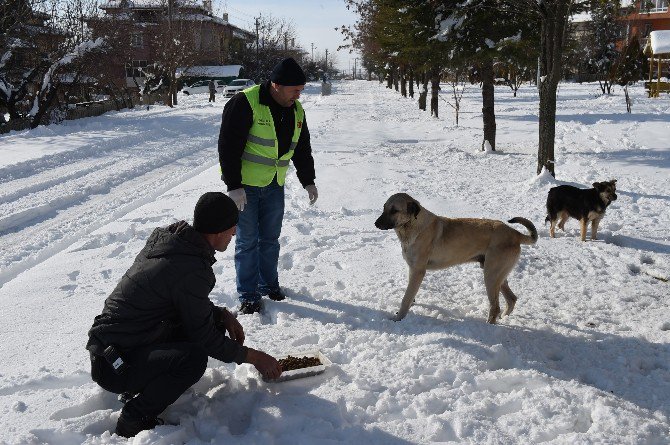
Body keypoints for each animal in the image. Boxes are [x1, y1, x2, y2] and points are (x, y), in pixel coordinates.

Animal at [376, 193, 540, 322]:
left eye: (394, 210)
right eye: (384, 208)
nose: (376, 223)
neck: (411, 227)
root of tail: (514, 233)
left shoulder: (418, 271)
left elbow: (406, 298)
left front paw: (398, 318)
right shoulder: (412, 269)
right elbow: (411, 295)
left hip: (491, 275)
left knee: (495, 307)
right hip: (498, 275)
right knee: (511, 299)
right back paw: (504, 317)